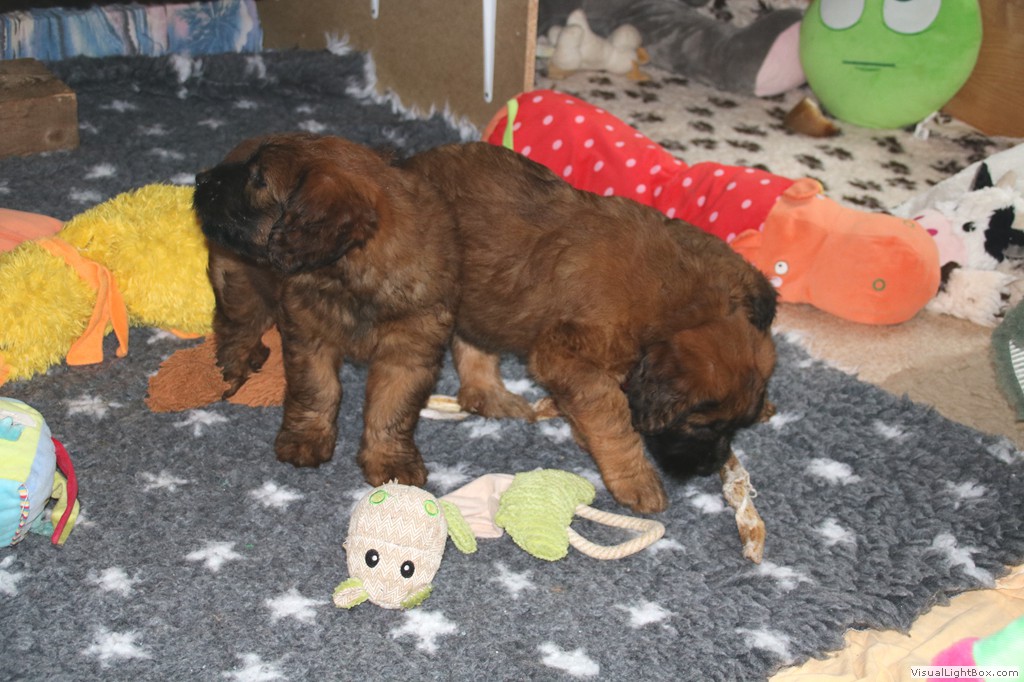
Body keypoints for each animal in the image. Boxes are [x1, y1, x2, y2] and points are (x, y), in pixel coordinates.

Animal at [193, 132, 459, 487]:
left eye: (260, 179)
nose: (200, 178)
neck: (355, 281)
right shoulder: (309, 338)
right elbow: (317, 389)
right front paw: (305, 439)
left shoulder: (410, 353)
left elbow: (392, 408)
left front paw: (390, 461)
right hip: (235, 276)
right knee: (236, 324)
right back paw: (237, 362)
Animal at [403, 142, 777, 518]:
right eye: (702, 426)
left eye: (734, 427)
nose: (708, 468)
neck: (680, 307)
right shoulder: (565, 353)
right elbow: (612, 414)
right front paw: (635, 478)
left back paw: (490, 395)